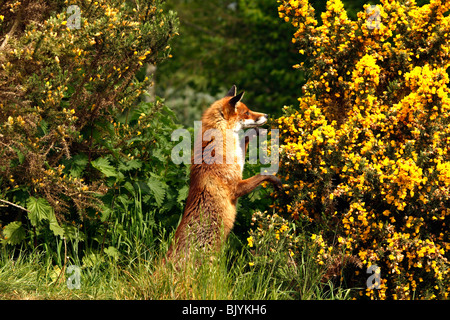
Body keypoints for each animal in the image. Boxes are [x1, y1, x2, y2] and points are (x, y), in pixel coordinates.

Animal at [167, 85, 284, 260]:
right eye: (247, 113)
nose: (267, 115)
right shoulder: (236, 187)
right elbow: (263, 175)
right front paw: (275, 181)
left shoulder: (238, 163)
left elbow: (244, 142)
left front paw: (256, 132)